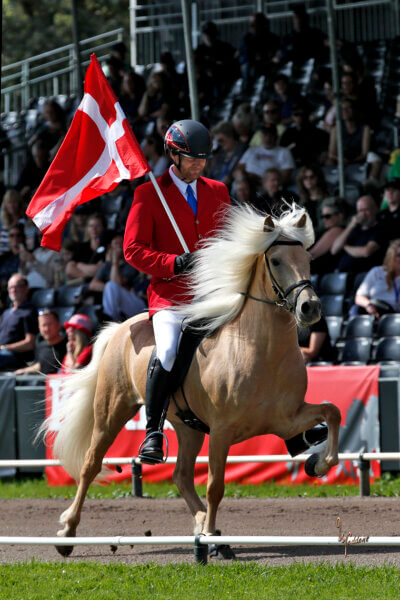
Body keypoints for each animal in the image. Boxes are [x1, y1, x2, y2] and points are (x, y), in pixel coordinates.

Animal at [46, 204, 340, 556]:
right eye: (276, 261)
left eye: (307, 259)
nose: (310, 307)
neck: (260, 349)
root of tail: (121, 327)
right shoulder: (223, 430)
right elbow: (215, 485)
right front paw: (212, 536)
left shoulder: (287, 419)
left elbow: (332, 411)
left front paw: (319, 464)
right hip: (112, 411)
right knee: (90, 464)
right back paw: (66, 534)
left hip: (189, 427)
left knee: (181, 475)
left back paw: (202, 526)